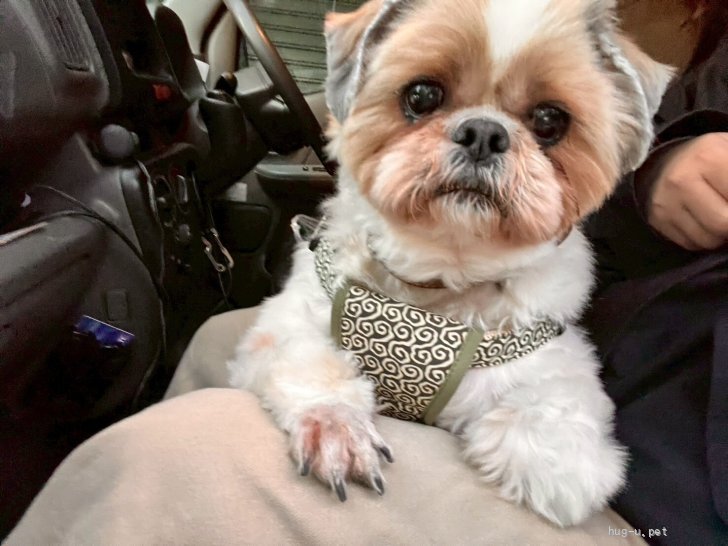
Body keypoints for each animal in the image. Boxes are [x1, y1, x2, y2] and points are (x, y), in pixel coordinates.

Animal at [228, 0, 672, 527]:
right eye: (422, 95)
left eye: (549, 120)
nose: (484, 132)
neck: (437, 282)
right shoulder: (288, 323)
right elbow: (308, 359)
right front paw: (336, 426)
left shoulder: (555, 360)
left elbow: (556, 429)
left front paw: (557, 464)